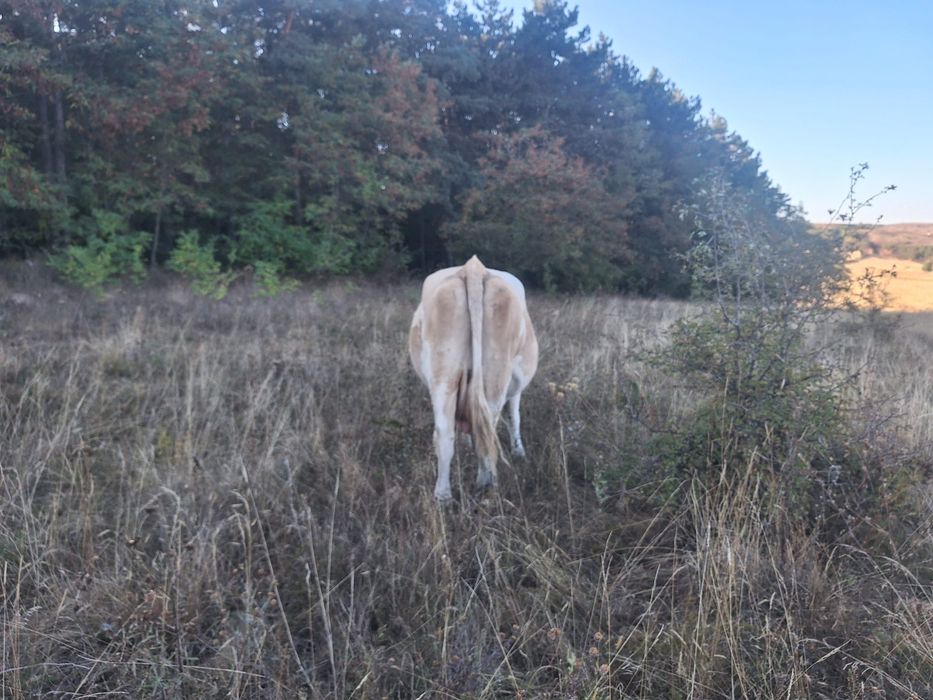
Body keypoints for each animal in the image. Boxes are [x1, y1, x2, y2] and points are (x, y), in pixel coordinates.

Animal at [409, 255, 538, 502]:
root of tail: (474, 268)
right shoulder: (516, 386)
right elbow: (515, 416)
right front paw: (519, 451)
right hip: (496, 376)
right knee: (486, 428)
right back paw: (486, 483)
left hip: (445, 373)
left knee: (447, 432)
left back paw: (443, 496)